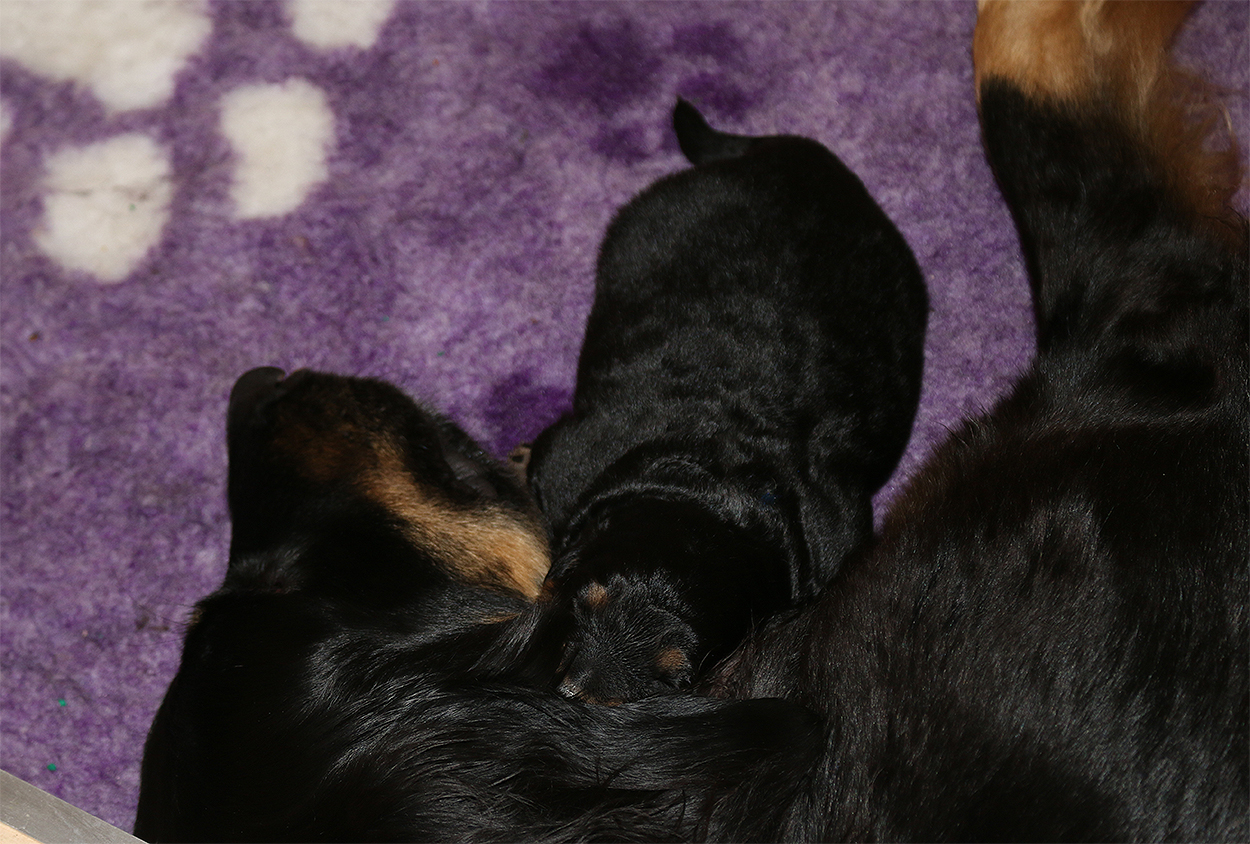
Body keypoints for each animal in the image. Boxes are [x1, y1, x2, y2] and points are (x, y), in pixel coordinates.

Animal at [499, 100, 927, 703]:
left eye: (675, 677)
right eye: (581, 599)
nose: (573, 694)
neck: (714, 478)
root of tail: (787, 158)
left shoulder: (834, 542)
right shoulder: (572, 461)